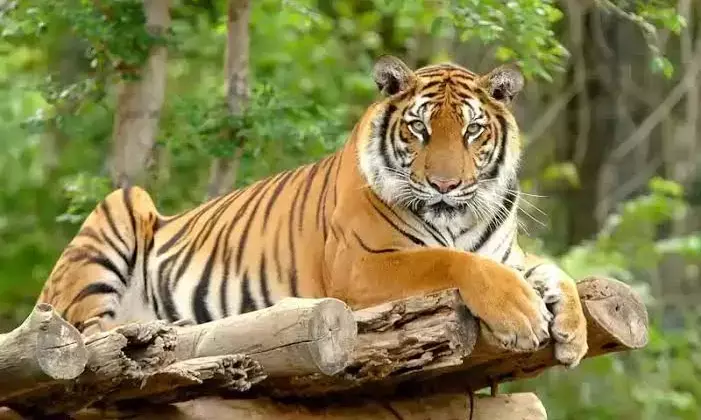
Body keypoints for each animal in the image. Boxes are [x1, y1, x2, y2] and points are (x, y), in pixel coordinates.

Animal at [37, 55, 588, 367]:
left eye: (473, 130)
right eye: (419, 128)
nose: (446, 185)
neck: (457, 219)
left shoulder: (508, 255)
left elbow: (555, 272)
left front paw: (574, 331)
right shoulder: (361, 266)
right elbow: (451, 260)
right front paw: (522, 316)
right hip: (120, 211)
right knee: (90, 334)